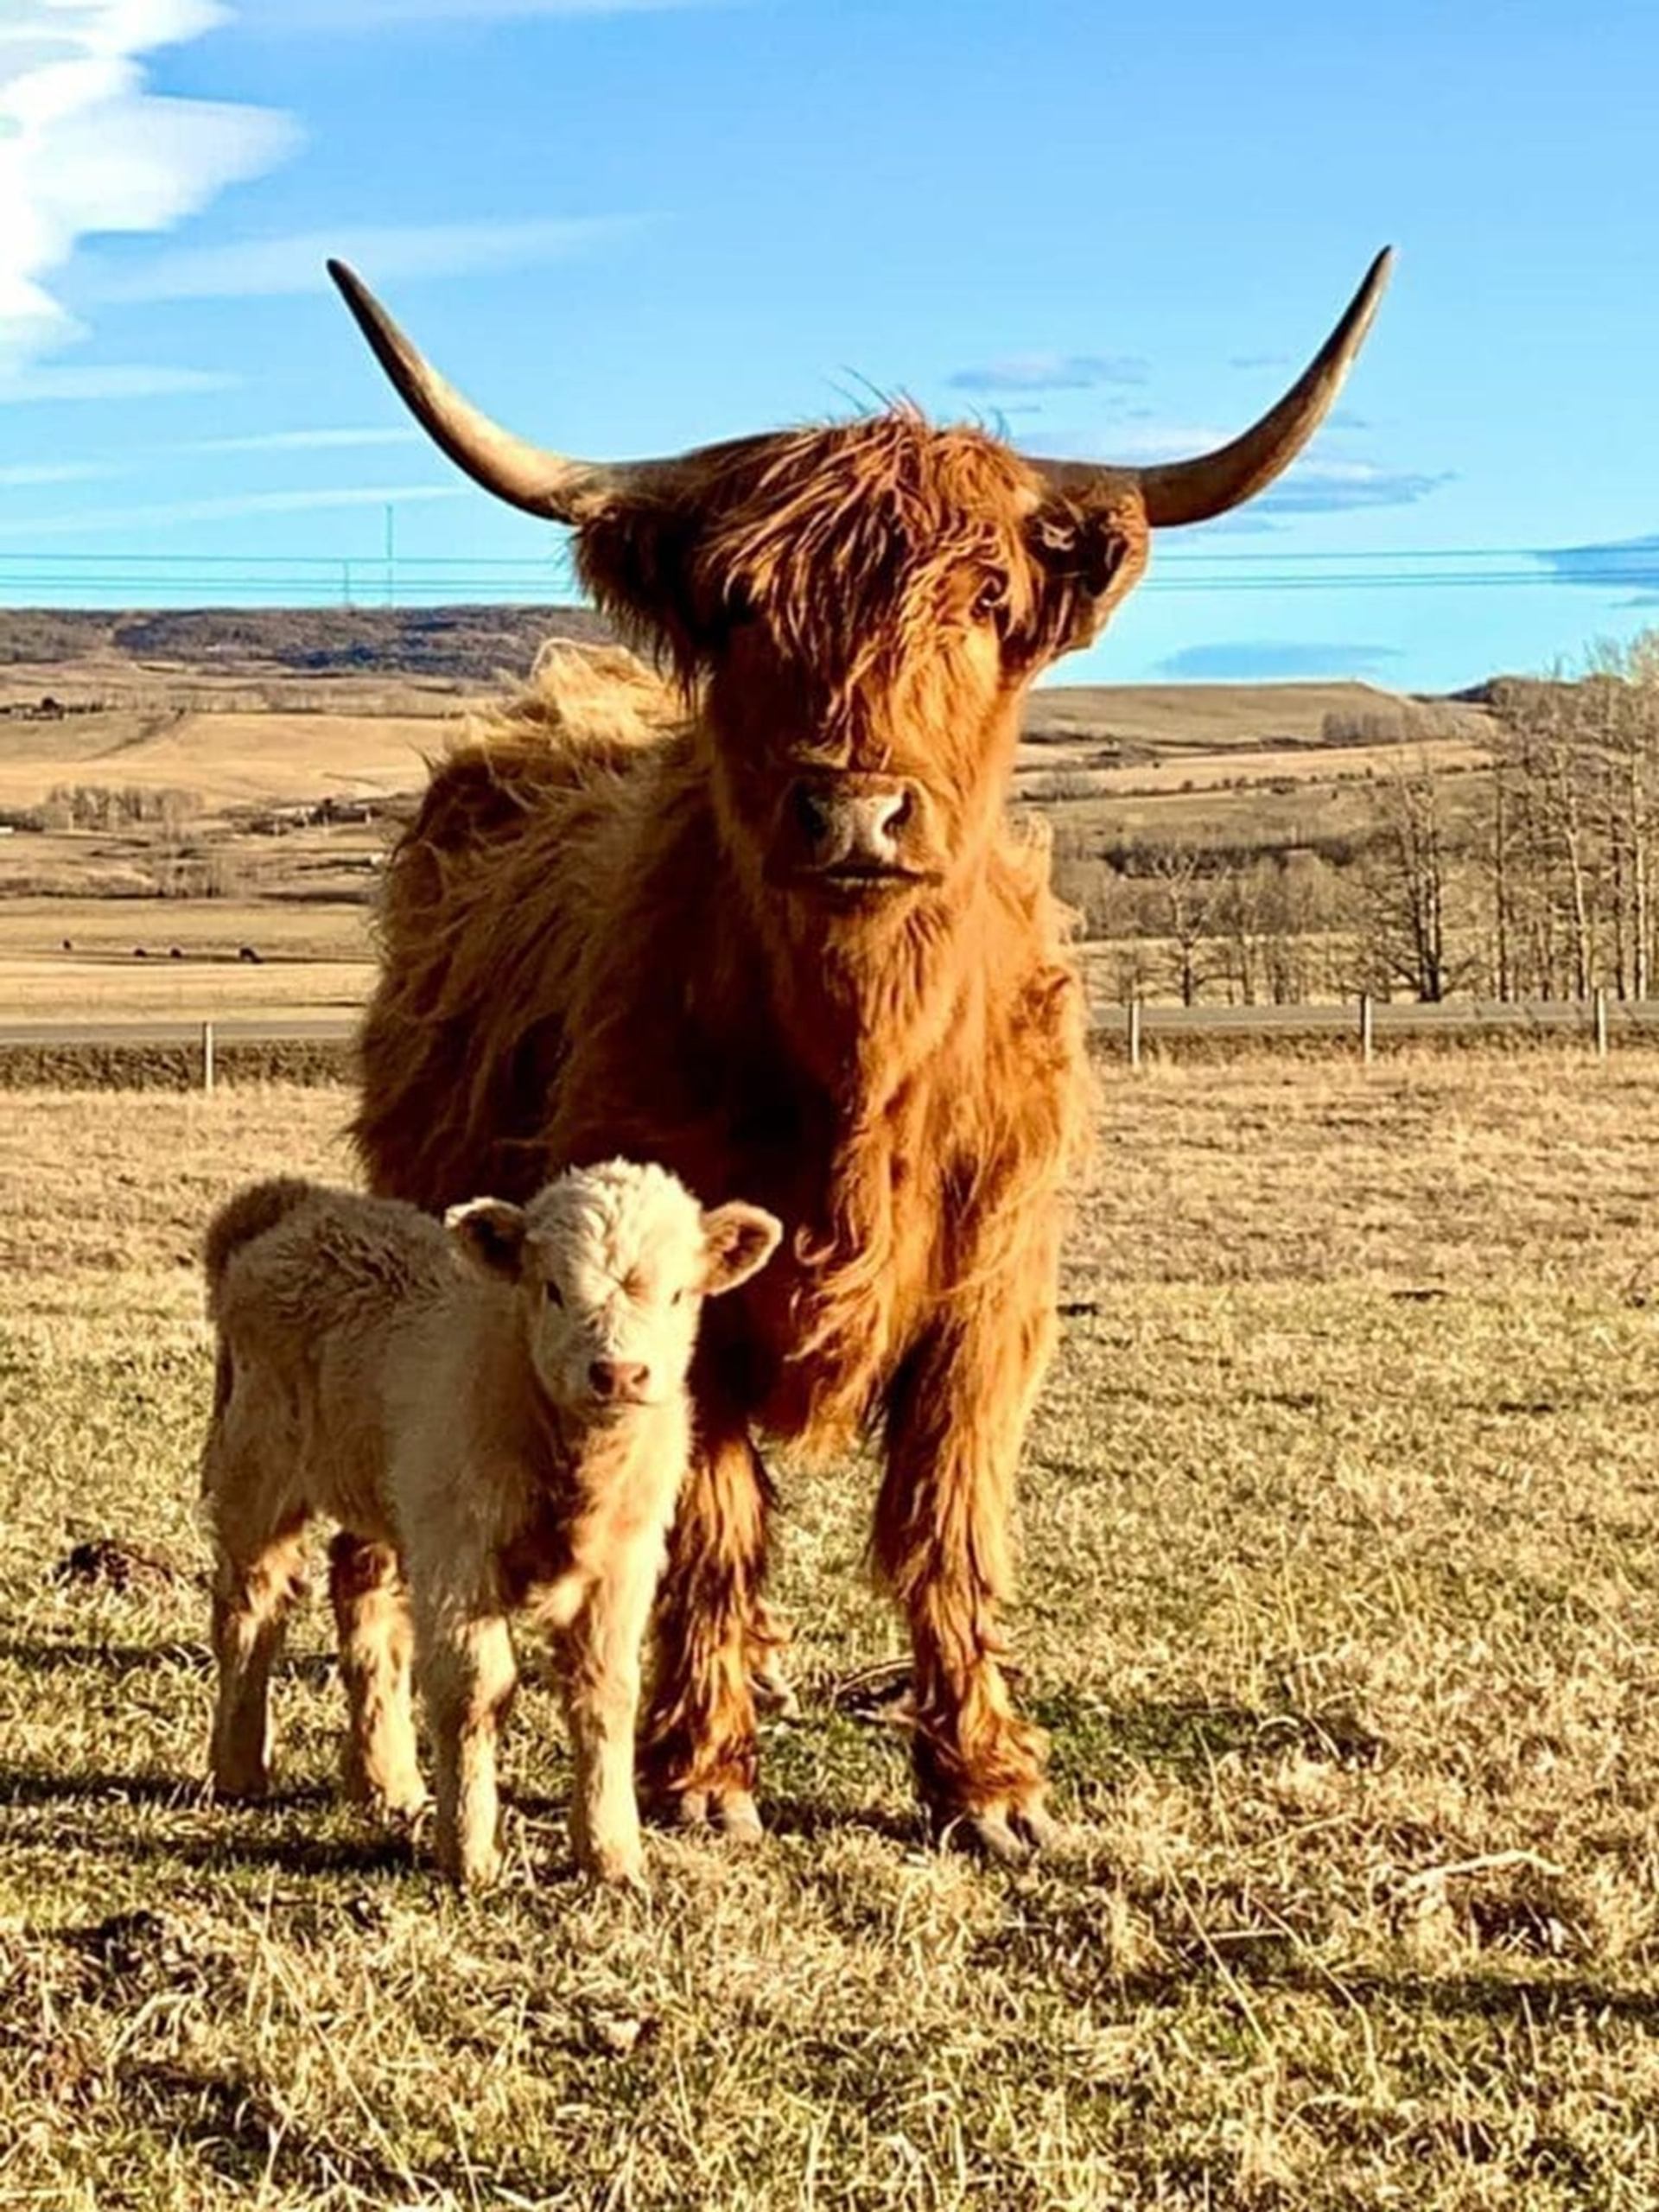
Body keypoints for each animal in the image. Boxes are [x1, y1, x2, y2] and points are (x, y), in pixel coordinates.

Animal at [329, 248, 1391, 1860]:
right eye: (739, 604)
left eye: (986, 595)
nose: (856, 814)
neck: (858, 1071)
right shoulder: (680, 1301)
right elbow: (717, 1524)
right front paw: (705, 1773)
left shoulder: (992, 1291)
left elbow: (948, 1515)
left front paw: (989, 1781)